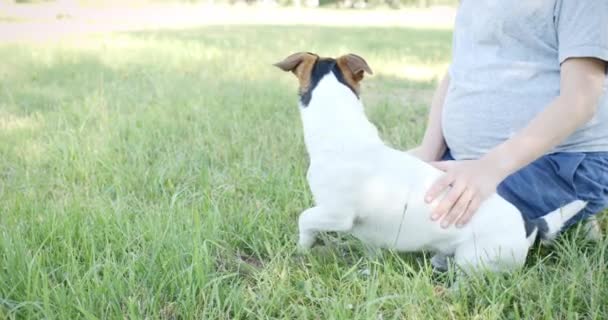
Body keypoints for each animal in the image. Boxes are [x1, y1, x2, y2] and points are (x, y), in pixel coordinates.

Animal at [274, 52, 584, 276]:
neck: (342, 129)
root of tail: (529, 224)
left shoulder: (337, 213)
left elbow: (305, 218)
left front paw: (302, 248)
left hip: (474, 259)